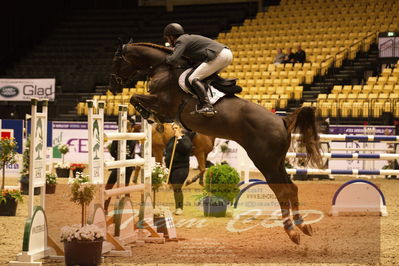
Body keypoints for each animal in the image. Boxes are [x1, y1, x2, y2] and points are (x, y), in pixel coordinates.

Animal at [110, 42, 324, 245]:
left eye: (117, 60)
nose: (113, 88)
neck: (164, 68)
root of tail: (283, 120)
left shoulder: (164, 105)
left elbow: (135, 98)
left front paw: (147, 115)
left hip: (266, 163)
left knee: (282, 191)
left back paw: (292, 232)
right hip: (277, 163)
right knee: (292, 188)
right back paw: (303, 226)